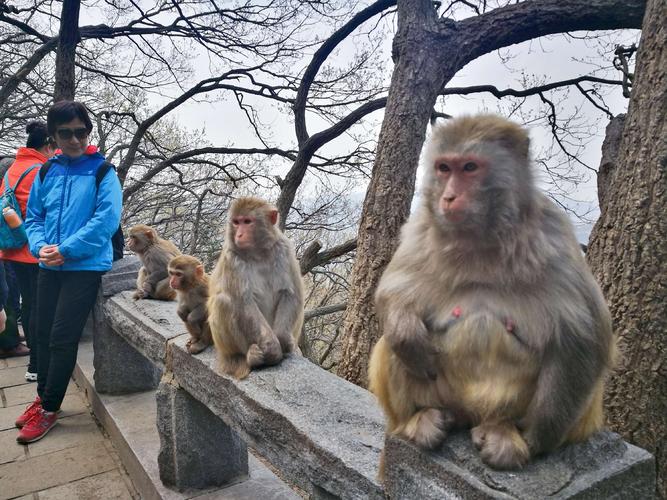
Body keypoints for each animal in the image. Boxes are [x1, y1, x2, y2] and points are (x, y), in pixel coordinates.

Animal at [209, 197, 306, 376]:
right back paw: (249, 356)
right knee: (223, 301)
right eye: (236, 222)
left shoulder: (284, 248)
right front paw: (272, 347)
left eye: (247, 222)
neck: (258, 252)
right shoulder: (232, 258)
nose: (239, 234)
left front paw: (282, 340)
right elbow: (244, 302)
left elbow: (290, 293)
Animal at [370, 115, 616, 470]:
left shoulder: (554, 233)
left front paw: (534, 443)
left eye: (470, 167)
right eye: (444, 167)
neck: (482, 239)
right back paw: (419, 419)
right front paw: (407, 335)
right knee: (391, 344)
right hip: (444, 397)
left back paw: (502, 431)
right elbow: (393, 291)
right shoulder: (420, 229)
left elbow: (585, 337)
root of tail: (469, 416)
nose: (448, 197)